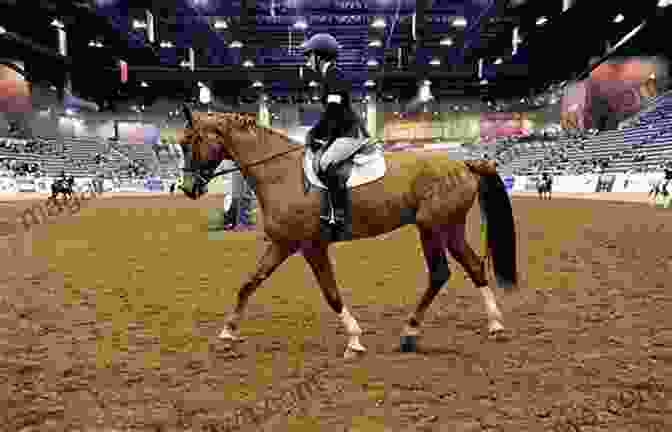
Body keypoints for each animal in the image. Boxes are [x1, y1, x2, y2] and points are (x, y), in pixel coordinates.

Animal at [178, 106, 520, 360]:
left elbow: (331, 293)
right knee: (474, 266)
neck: (280, 174)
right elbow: (249, 284)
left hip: (432, 228)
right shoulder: (283, 243)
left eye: (189, 141)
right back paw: (495, 325)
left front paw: (354, 341)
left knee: (439, 274)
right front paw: (227, 333)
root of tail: (464, 164)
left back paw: (410, 333)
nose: (188, 189)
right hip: (449, 228)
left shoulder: (311, 246)